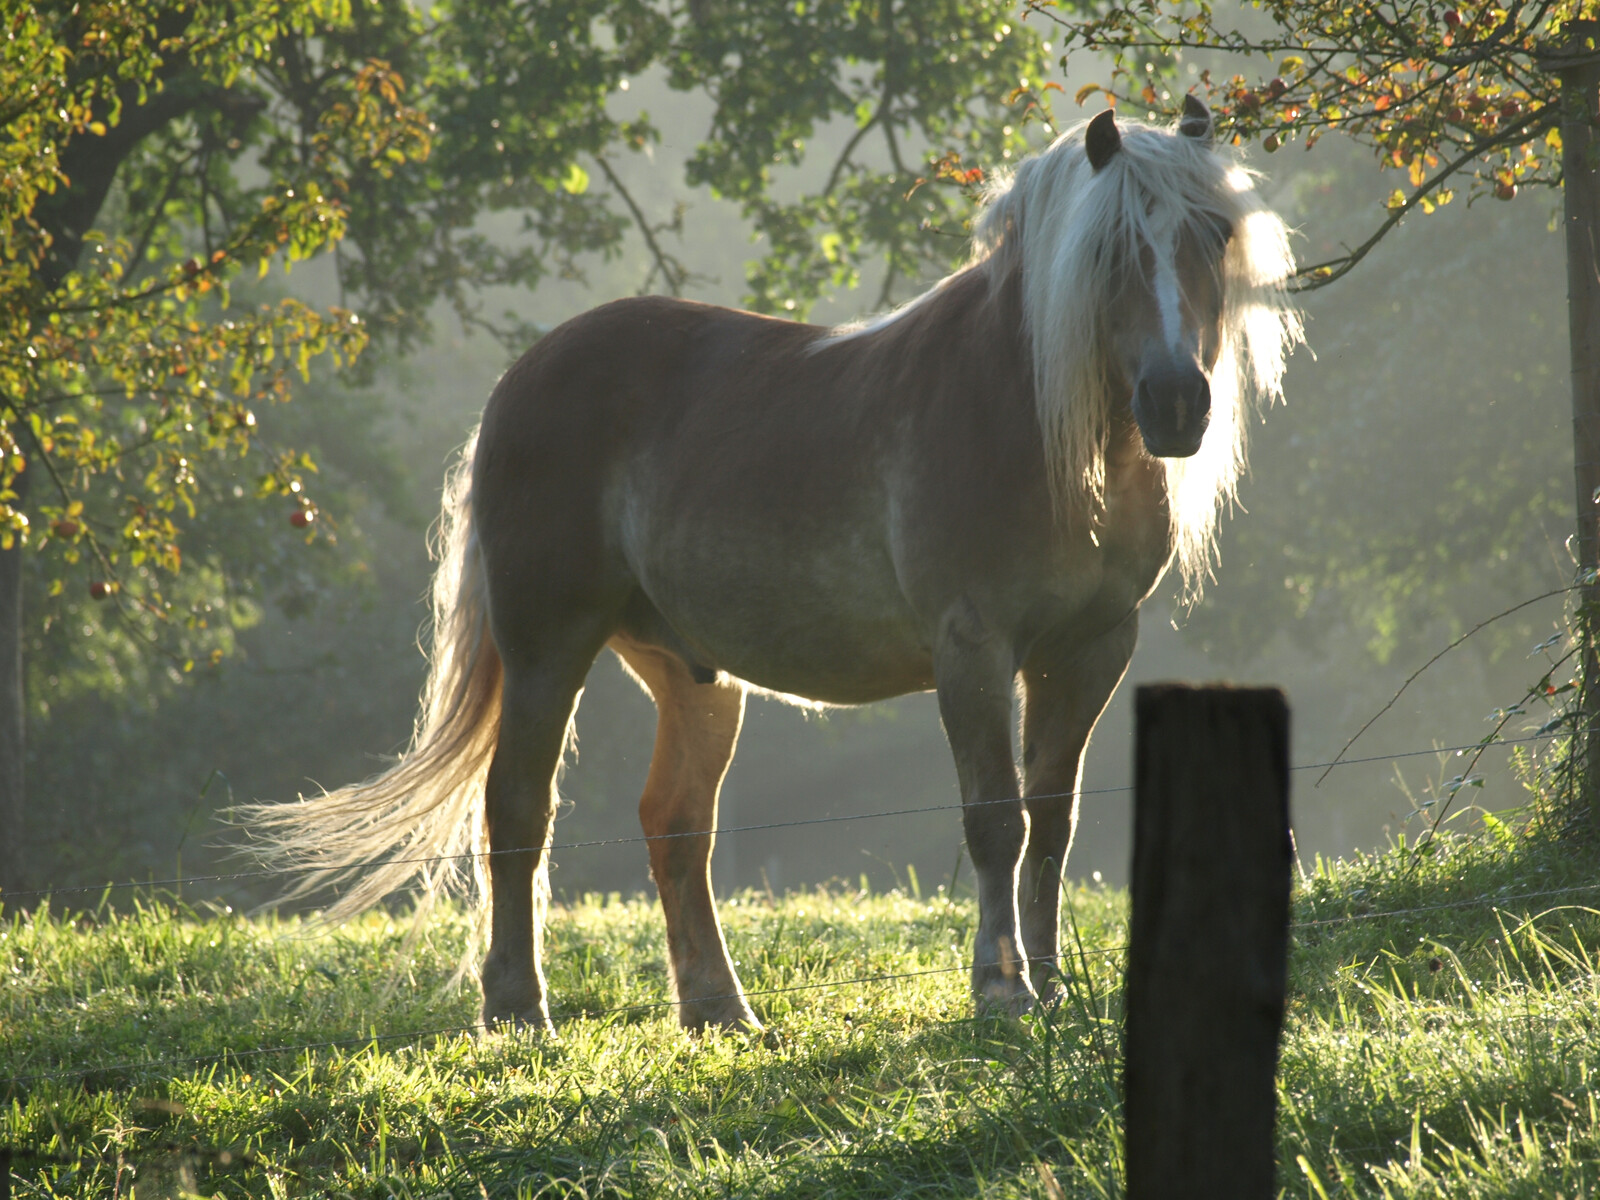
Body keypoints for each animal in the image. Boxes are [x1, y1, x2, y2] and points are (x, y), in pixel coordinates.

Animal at [241, 96, 1301, 1033]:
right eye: (1112, 250)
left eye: (1212, 236)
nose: (1177, 403)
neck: (1035, 420)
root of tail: (521, 379)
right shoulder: (974, 648)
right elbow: (995, 818)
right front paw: (1000, 990)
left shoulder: (1089, 650)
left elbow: (1053, 821)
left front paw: (1049, 984)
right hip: (548, 650)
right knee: (515, 813)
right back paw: (517, 1009)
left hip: (690, 673)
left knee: (676, 826)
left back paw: (720, 1010)